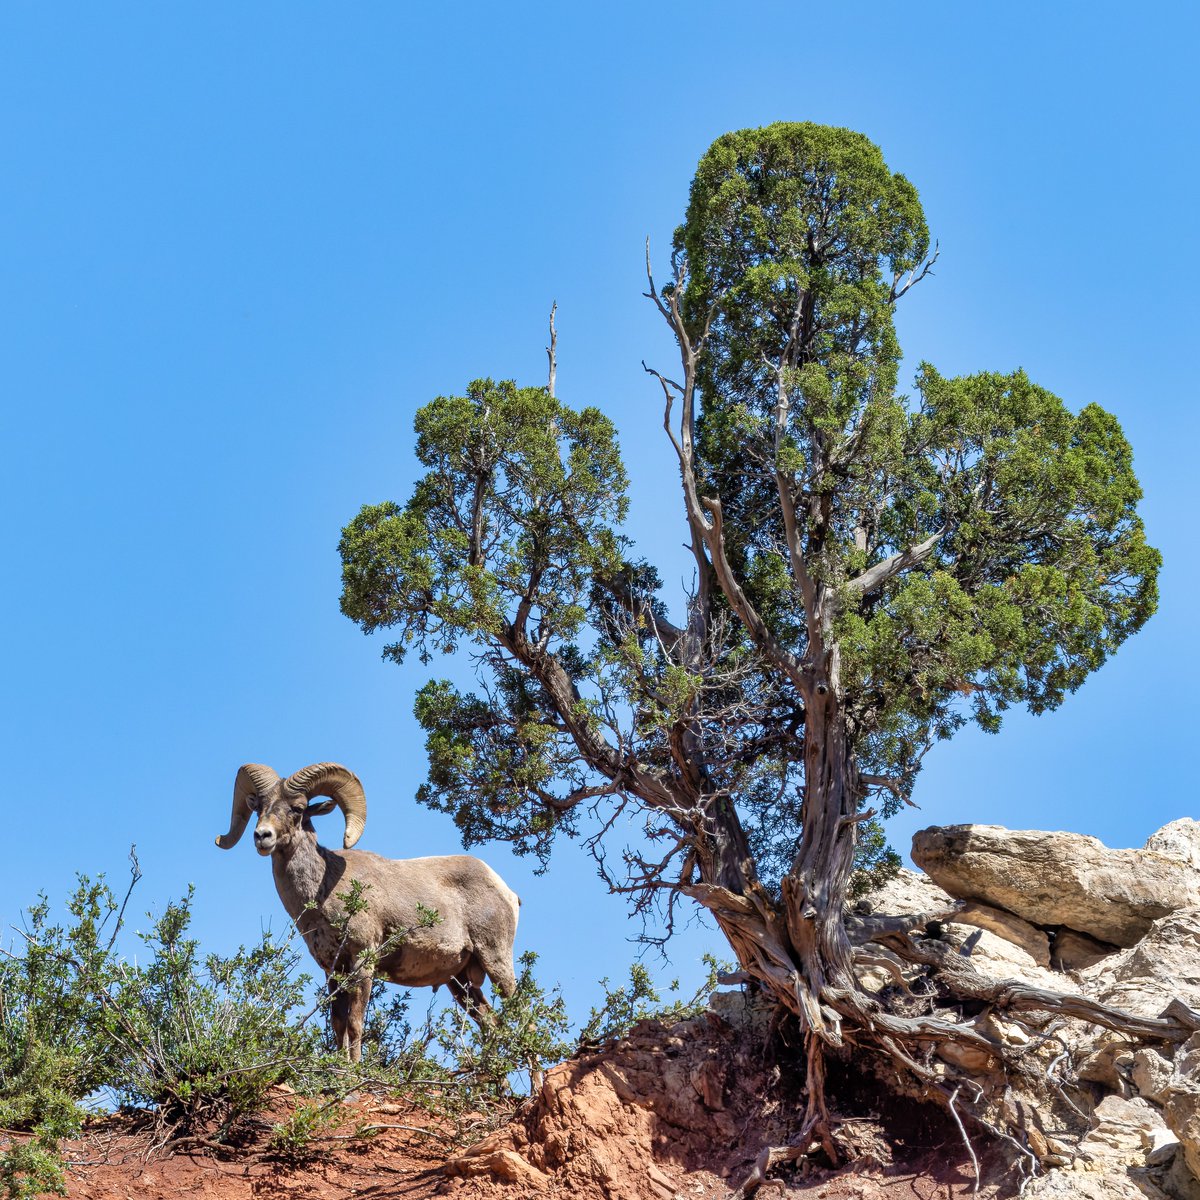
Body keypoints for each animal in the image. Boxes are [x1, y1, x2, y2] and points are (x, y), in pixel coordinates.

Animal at [215, 761, 519, 1061]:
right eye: (258, 806)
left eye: (298, 809)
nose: (262, 836)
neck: (324, 890)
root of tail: (507, 891)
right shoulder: (333, 970)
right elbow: (338, 1025)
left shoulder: (363, 960)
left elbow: (355, 1023)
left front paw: (354, 1069)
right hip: (460, 981)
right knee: (491, 1024)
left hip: (496, 959)